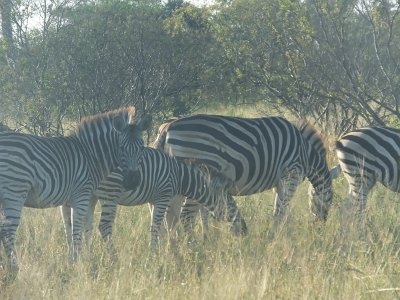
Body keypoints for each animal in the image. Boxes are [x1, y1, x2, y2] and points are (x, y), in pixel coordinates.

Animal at [0, 106, 152, 278]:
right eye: (121, 148)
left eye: (142, 147)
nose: (132, 181)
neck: (92, 155)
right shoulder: (82, 195)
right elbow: (77, 229)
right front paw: (76, 262)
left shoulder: (71, 199)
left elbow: (73, 228)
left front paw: (74, 260)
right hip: (14, 192)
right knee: (8, 231)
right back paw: (14, 269)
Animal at [68, 146, 245, 254]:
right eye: (231, 203)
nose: (245, 229)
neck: (179, 176)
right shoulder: (164, 197)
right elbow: (158, 226)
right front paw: (154, 254)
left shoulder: (154, 200)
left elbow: (162, 227)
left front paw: (163, 251)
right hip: (110, 193)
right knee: (103, 226)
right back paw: (113, 257)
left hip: (91, 195)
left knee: (86, 226)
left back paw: (90, 256)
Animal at [154, 115, 334, 237]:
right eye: (330, 201)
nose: (319, 230)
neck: (306, 151)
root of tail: (167, 128)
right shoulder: (291, 174)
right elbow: (281, 210)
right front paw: (274, 236)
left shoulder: (280, 181)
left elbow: (282, 209)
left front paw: (283, 234)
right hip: (195, 177)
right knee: (185, 216)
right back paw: (194, 248)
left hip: (177, 178)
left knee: (170, 216)